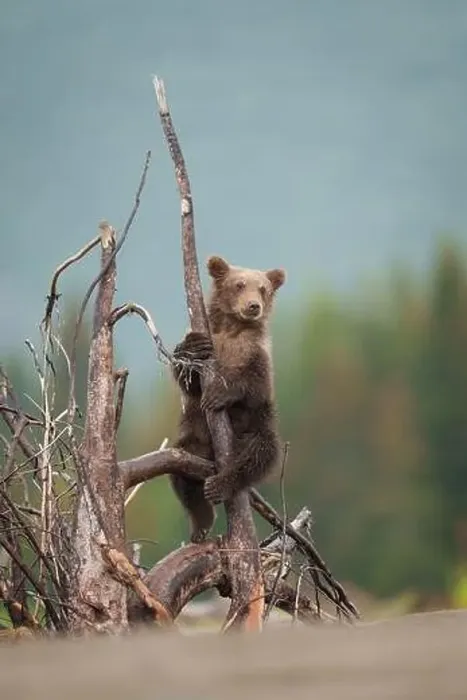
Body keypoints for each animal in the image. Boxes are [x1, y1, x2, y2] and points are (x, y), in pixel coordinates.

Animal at [169, 254, 286, 543]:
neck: (233, 328)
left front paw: (219, 395)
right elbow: (186, 378)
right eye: (239, 284)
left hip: (255, 427)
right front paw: (193, 347)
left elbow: (254, 386)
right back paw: (201, 521)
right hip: (195, 440)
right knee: (182, 474)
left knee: (259, 453)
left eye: (263, 288)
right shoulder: (211, 339)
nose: (253, 306)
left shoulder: (256, 355)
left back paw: (220, 485)